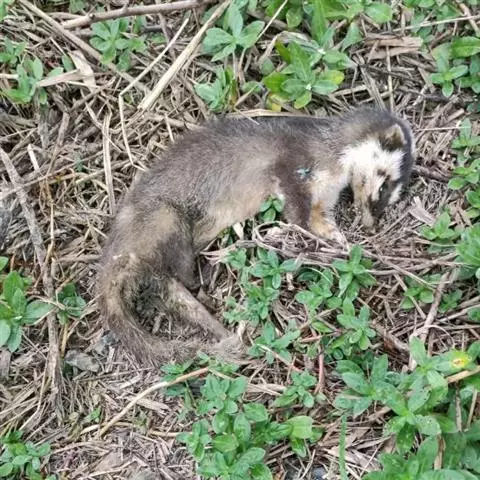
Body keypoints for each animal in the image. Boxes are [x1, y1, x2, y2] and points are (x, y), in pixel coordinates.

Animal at [97, 107, 415, 365]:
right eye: (386, 185)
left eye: (394, 196)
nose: (372, 224)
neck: (333, 166)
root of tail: (114, 252)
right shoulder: (292, 165)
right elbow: (296, 210)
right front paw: (305, 236)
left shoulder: (323, 199)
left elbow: (320, 219)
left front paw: (337, 239)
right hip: (164, 217)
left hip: (161, 268)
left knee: (174, 292)